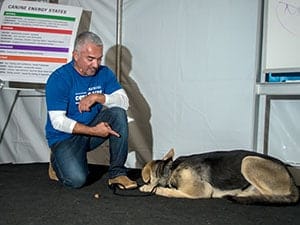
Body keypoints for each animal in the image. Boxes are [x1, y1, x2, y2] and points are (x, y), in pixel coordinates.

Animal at [139, 149, 298, 205]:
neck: (170, 169)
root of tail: (291, 179)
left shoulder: (201, 191)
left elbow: (167, 191)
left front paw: (149, 188)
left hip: (248, 162)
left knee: (268, 195)